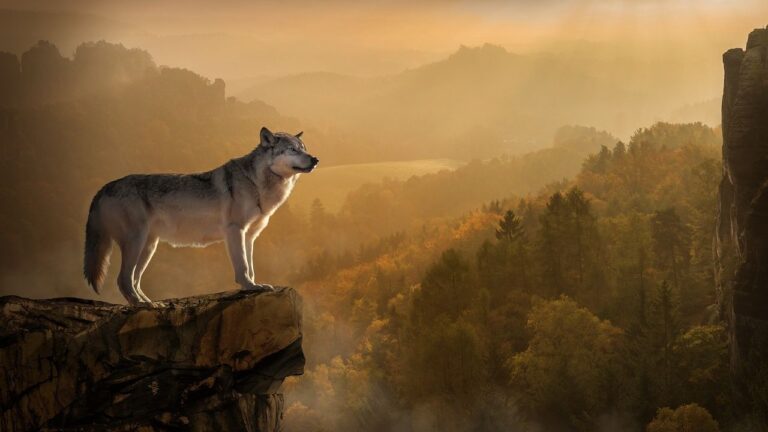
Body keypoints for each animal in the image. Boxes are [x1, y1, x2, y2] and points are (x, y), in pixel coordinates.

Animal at [83, 127, 318, 305]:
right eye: (292, 150)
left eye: (304, 149)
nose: (315, 159)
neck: (256, 183)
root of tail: (104, 187)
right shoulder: (235, 231)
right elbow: (242, 266)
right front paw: (249, 287)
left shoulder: (250, 236)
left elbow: (250, 267)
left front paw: (255, 285)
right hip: (136, 242)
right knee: (123, 279)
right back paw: (143, 306)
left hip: (149, 247)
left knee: (134, 280)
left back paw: (149, 303)